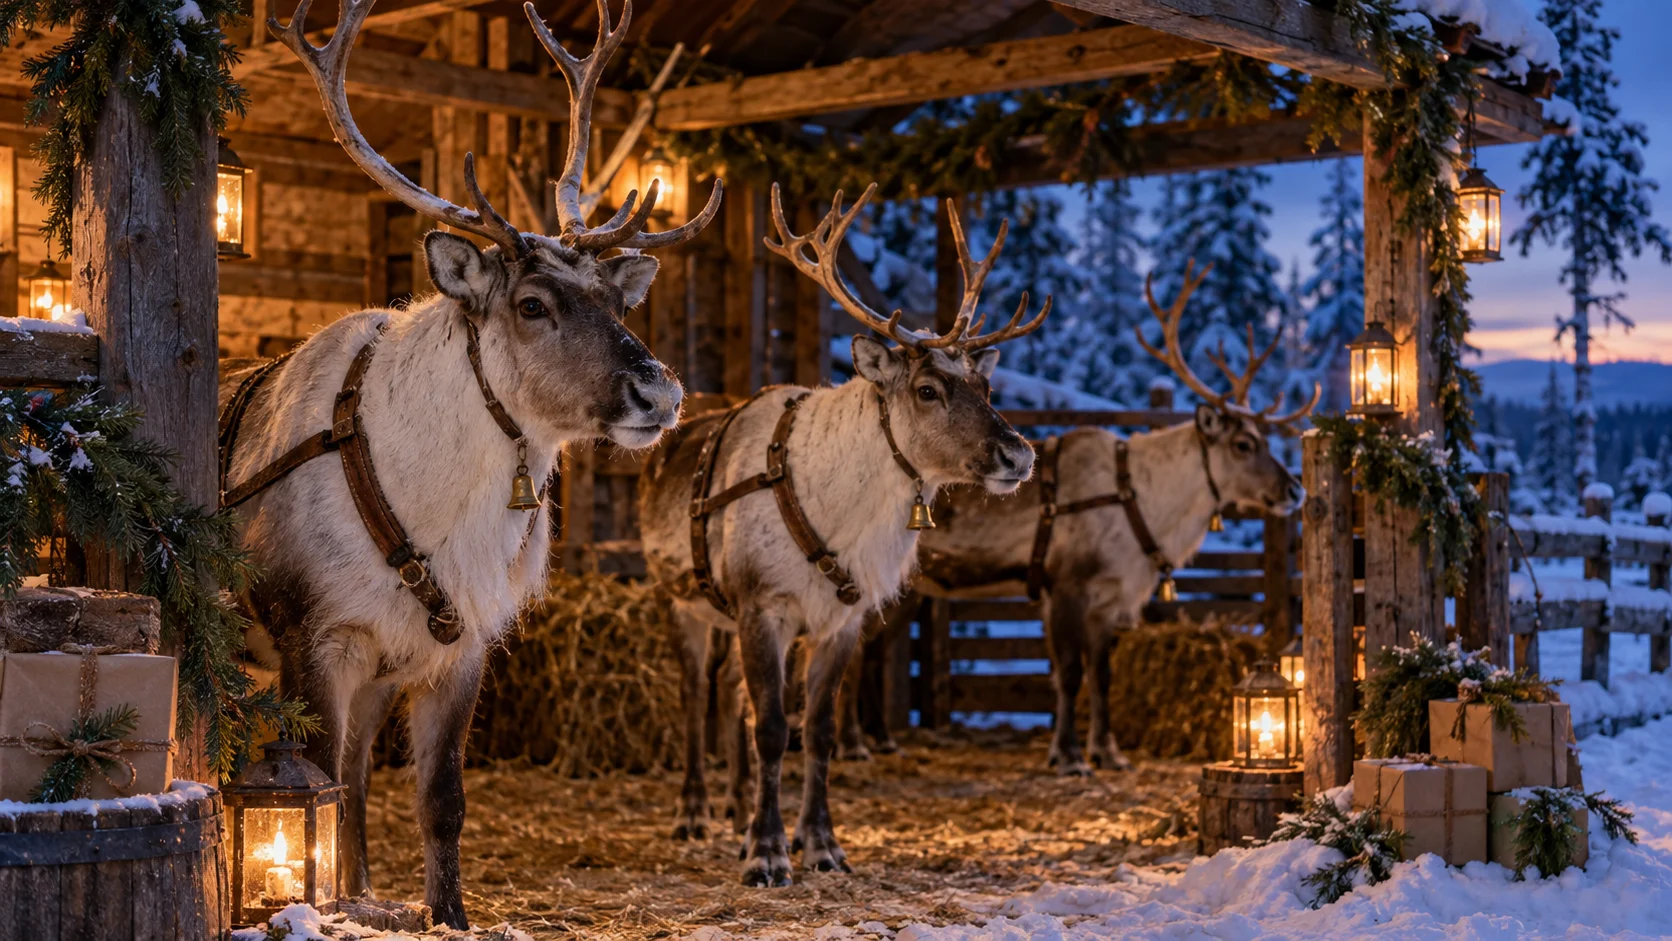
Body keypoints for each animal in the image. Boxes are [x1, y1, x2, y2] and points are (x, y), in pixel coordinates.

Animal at [218, 0, 719, 926]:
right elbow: (317, 782)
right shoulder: (312, 632)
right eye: (532, 303)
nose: (659, 390)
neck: (439, 513)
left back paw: (366, 891)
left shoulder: (462, 646)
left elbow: (438, 800)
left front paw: (442, 914)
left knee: (357, 775)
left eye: (617, 299)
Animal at [638, 184, 1047, 886]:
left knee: (733, 697)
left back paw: (737, 806)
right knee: (697, 696)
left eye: (986, 383)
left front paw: (820, 843)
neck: (843, 516)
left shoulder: (842, 619)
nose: (1017, 454)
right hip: (682, 601)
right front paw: (769, 852)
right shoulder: (762, 604)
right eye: (928, 389)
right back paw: (695, 813)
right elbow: (775, 727)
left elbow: (820, 730)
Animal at [912, 261, 1317, 776]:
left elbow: (1100, 675)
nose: (1295, 490)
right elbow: (1068, 675)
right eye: (1244, 444)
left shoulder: (1108, 599)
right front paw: (1067, 756)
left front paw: (1107, 751)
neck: (1144, 503)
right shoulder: (1064, 587)